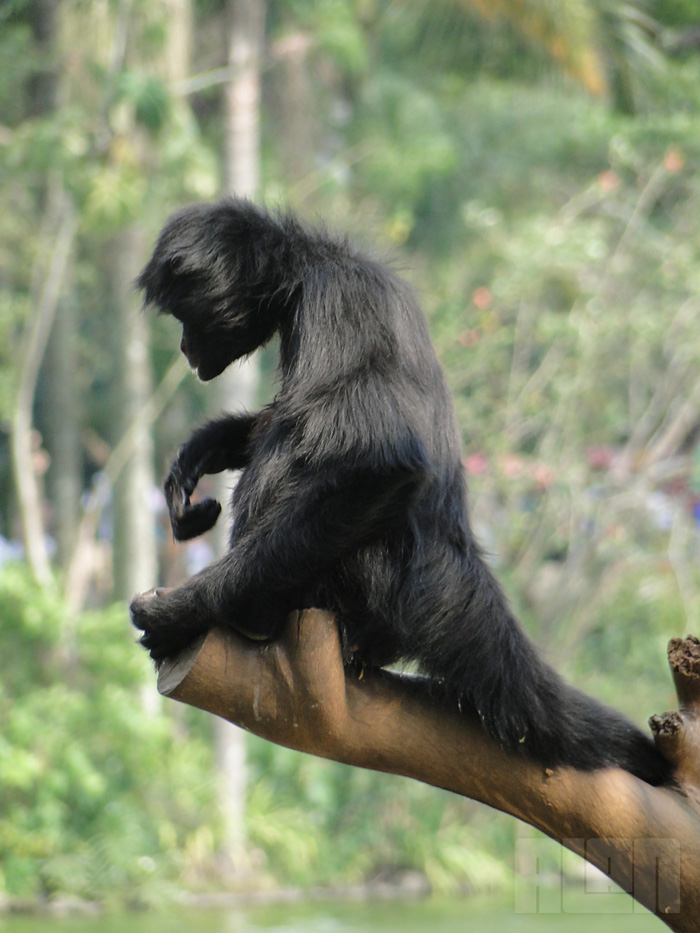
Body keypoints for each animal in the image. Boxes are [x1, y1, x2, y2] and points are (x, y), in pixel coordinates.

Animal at [131, 198, 672, 788]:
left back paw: (256, 615)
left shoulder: (338, 302)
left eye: (188, 317)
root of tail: (459, 570)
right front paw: (203, 450)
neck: (309, 266)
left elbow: (383, 465)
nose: (183, 346)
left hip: (367, 575)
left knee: (300, 437)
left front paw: (184, 609)